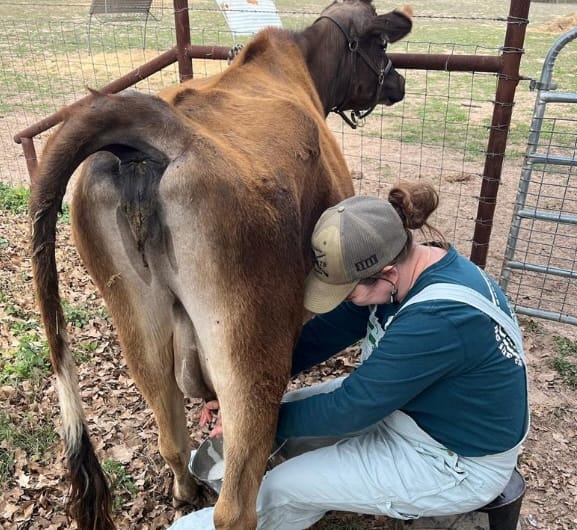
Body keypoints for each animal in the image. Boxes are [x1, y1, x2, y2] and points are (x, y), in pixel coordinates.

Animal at [29, 2, 412, 524]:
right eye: (381, 43)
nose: (399, 83)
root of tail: (153, 132)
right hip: (246, 338)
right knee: (235, 501)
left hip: (136, 319)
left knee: (170, 435)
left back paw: (185, 489)